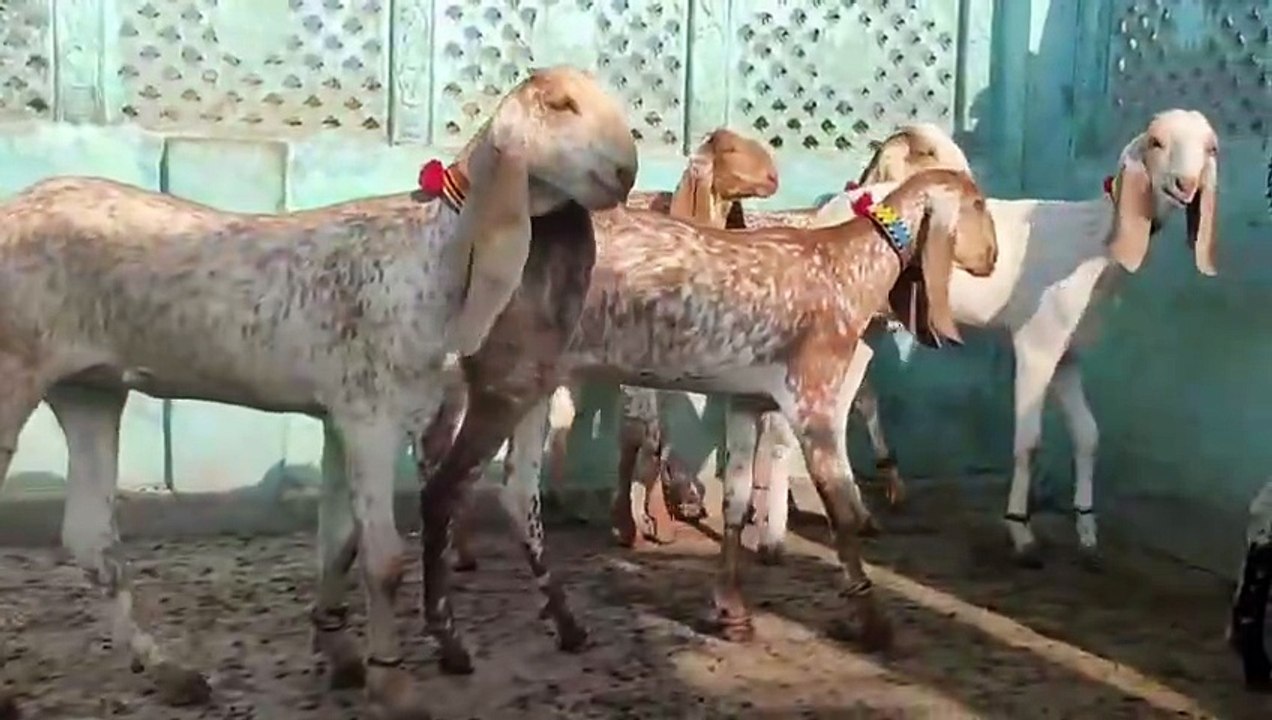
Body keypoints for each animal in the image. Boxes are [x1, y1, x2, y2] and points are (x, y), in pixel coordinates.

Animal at [0, 66, 638, 719]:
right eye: (561, 104)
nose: (626, 172)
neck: (428, 253)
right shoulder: (371, 414)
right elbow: (384, 559)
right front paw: (391, 681)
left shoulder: (339, 415)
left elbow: (339, 541)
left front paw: (339, 652)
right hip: (14, 369)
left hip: (88, 387)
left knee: (90, 535)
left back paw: (170, 672)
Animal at [418, 168, 999, 664]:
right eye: (976, 203)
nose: (991, 258)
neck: (844, 267)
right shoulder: (812, 399)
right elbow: (839, 510)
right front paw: (874, 624)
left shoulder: (748, 401)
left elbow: (738, 501)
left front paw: (730, 610)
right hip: (502, 380)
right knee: (444, 485)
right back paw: (449, 639)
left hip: (528, 384)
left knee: (515, 494)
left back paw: (567, 625)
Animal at [759, 109, 1219, 568]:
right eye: (1157, 142)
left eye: (1210, 147)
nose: (1185, 185)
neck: (1094, 238)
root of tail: (834, 208)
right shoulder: (1036, 342)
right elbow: (1029, 441)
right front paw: (1021, 532)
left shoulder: (1067, 355)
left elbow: (1088, 435)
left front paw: (1087, 532)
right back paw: (774, 537)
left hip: (863, 330)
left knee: (834, 415)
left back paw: (858, 516)